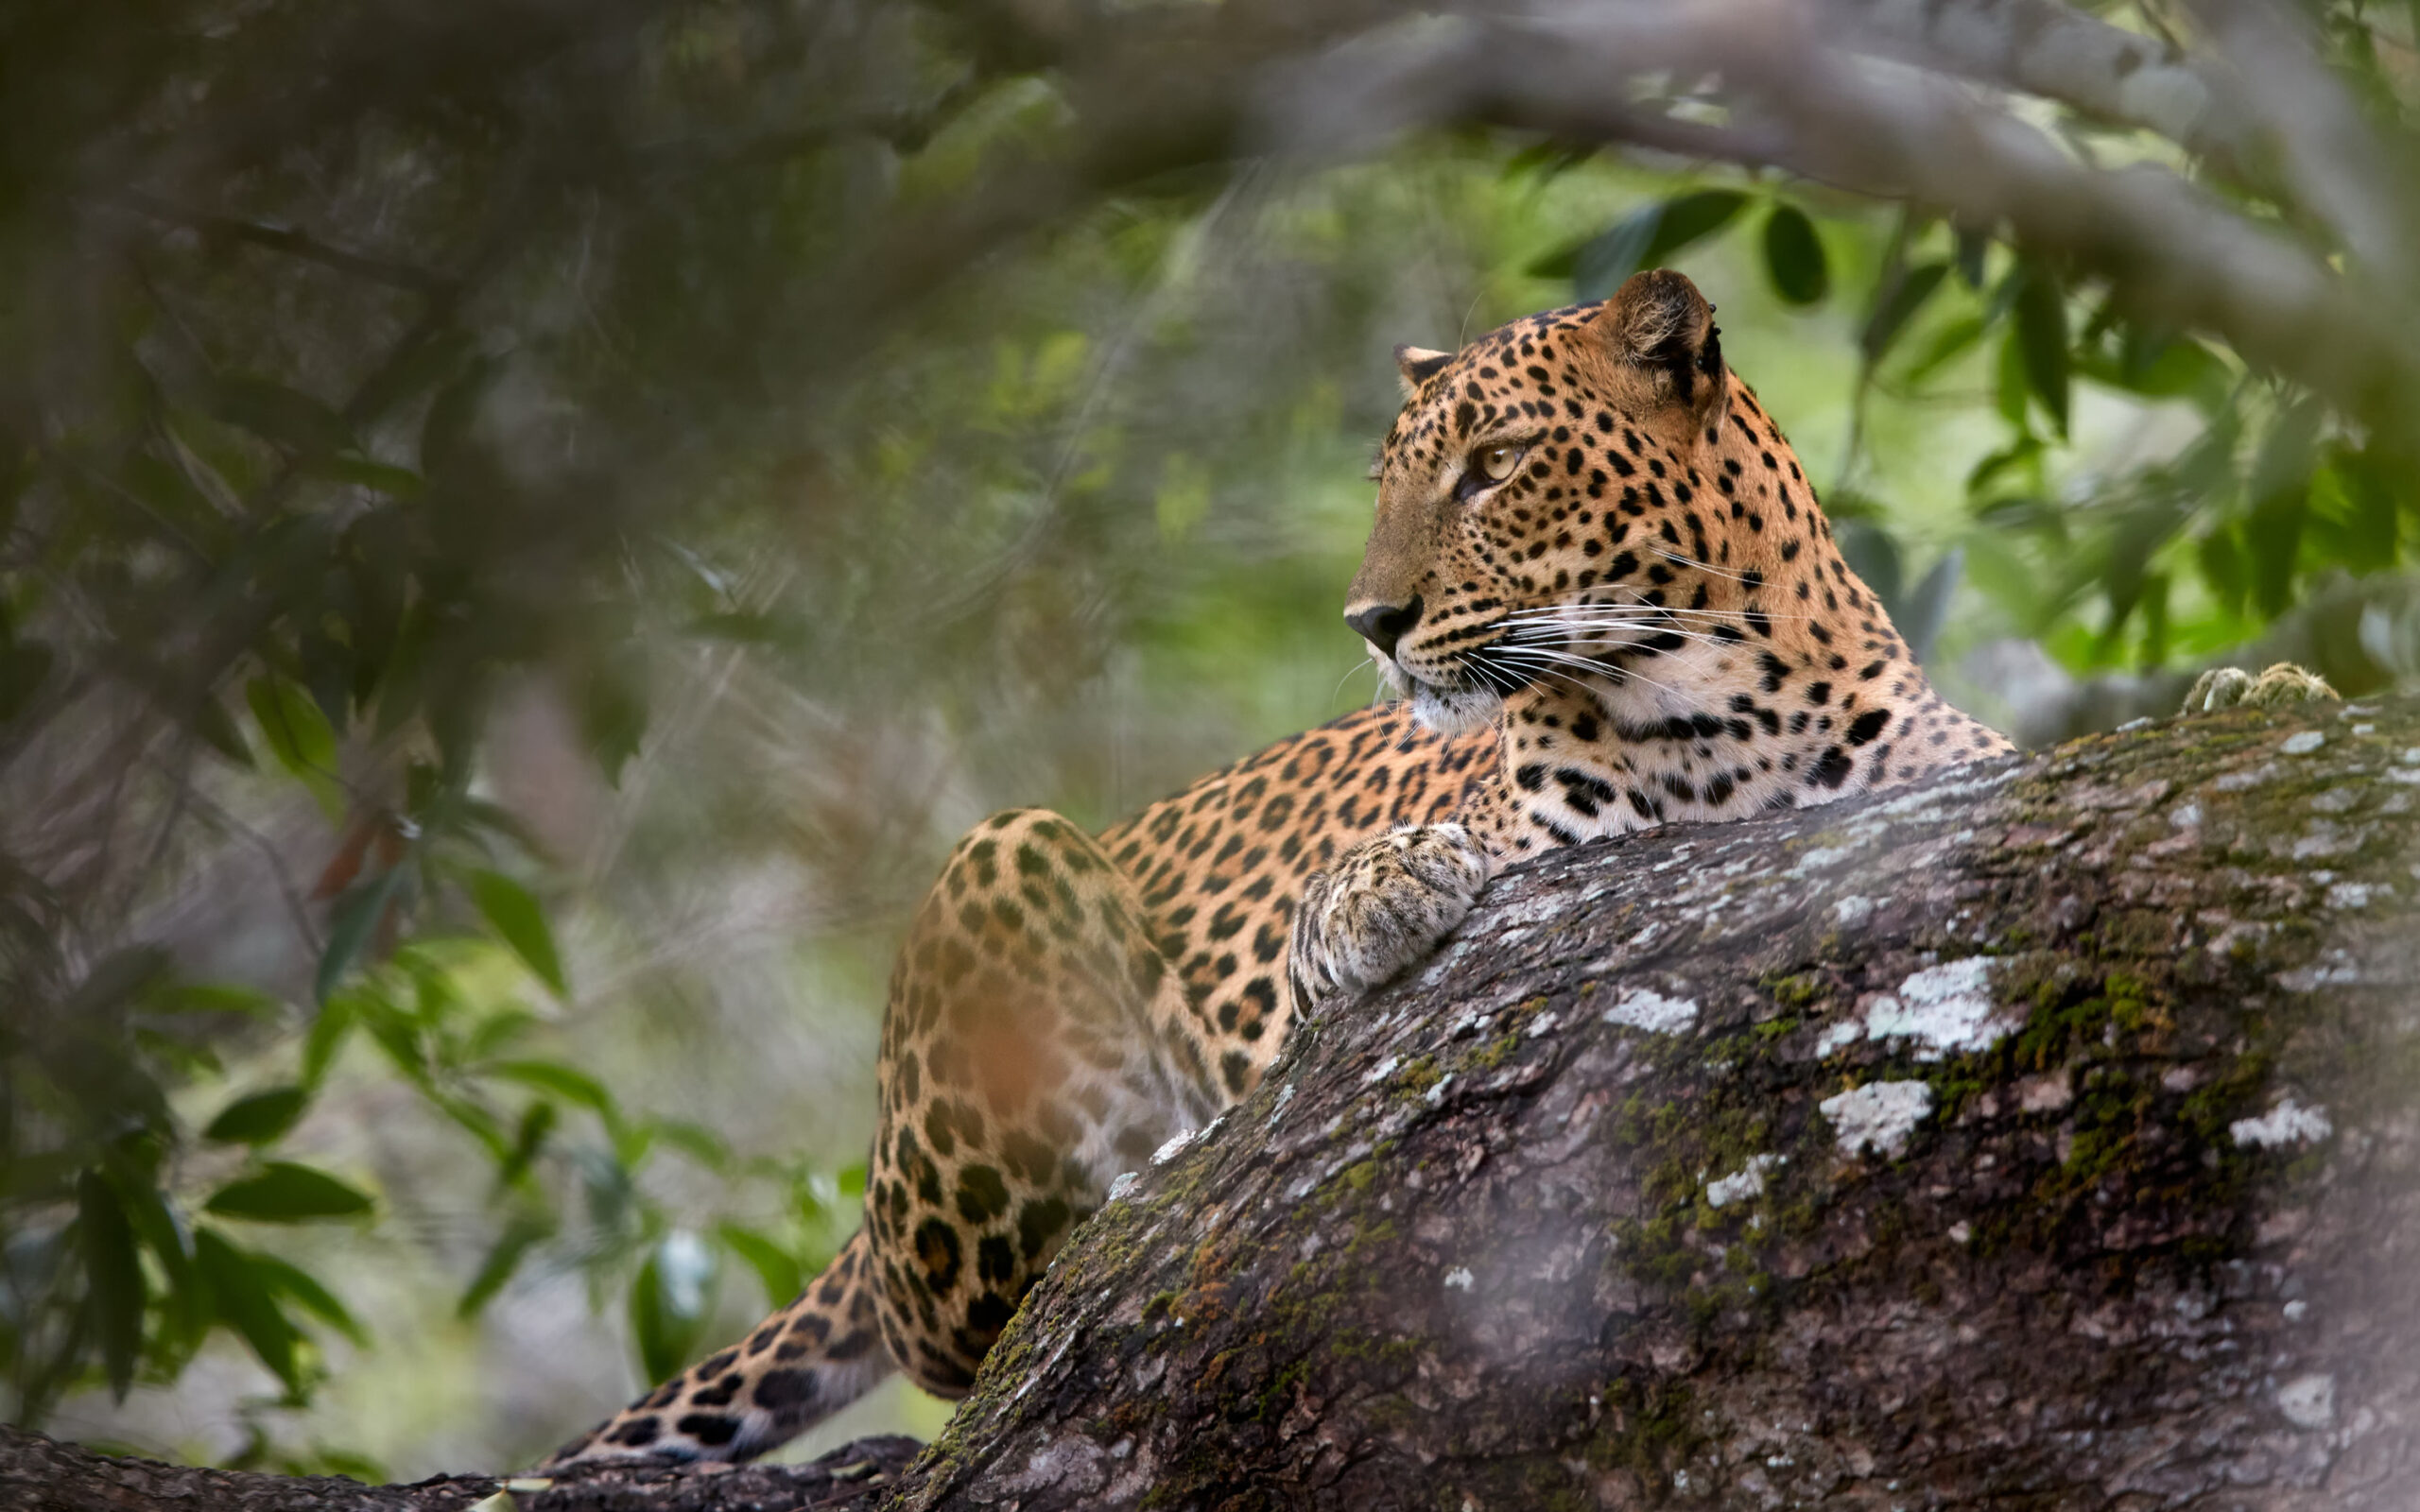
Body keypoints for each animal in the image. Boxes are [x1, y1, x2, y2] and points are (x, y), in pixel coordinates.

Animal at [545, 269, 2314, 1466]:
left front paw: (2262, 691)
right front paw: (1376, 894)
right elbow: (1442, 852)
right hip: (1005, 865)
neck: (1730, 689)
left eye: (1493, 464)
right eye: (1394, 477)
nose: (1370, 624)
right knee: (971, 1325)